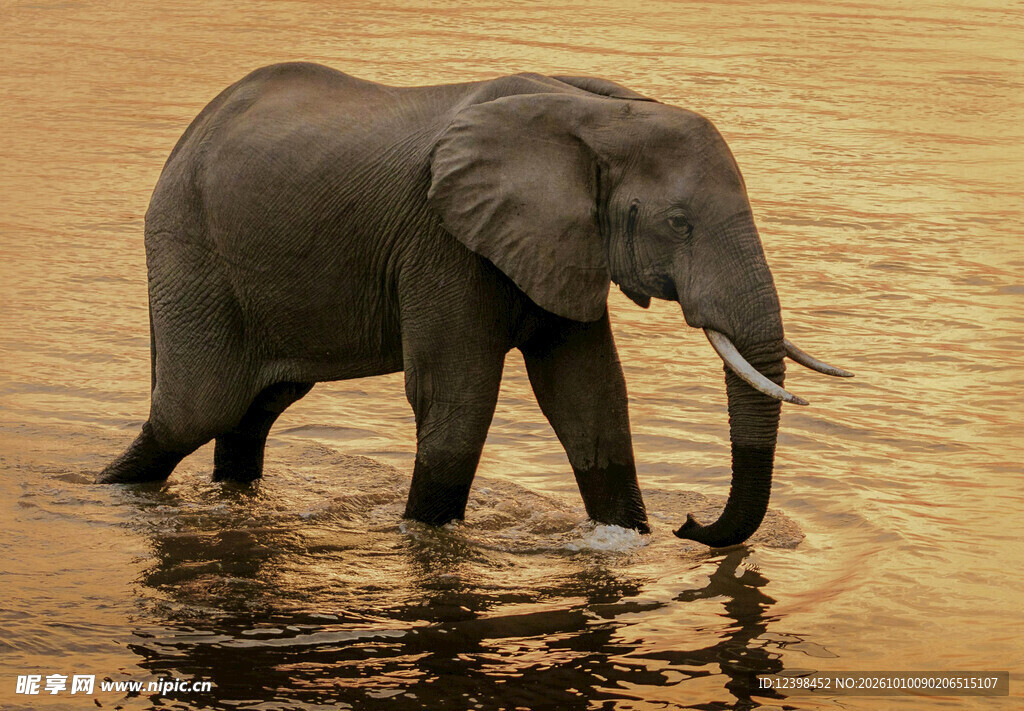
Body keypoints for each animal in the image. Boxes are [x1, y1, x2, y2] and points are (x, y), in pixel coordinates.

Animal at [99, 62, 852, 547]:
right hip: (189, 248)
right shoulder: (444, 241)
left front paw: (625, 537)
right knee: (195, 411)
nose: (689, 524)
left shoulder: (560, 244)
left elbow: (590, 395)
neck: (601, 113)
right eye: (679, 224)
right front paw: (427, 534)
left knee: (252, 412)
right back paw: (114, 490)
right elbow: (458, 394)